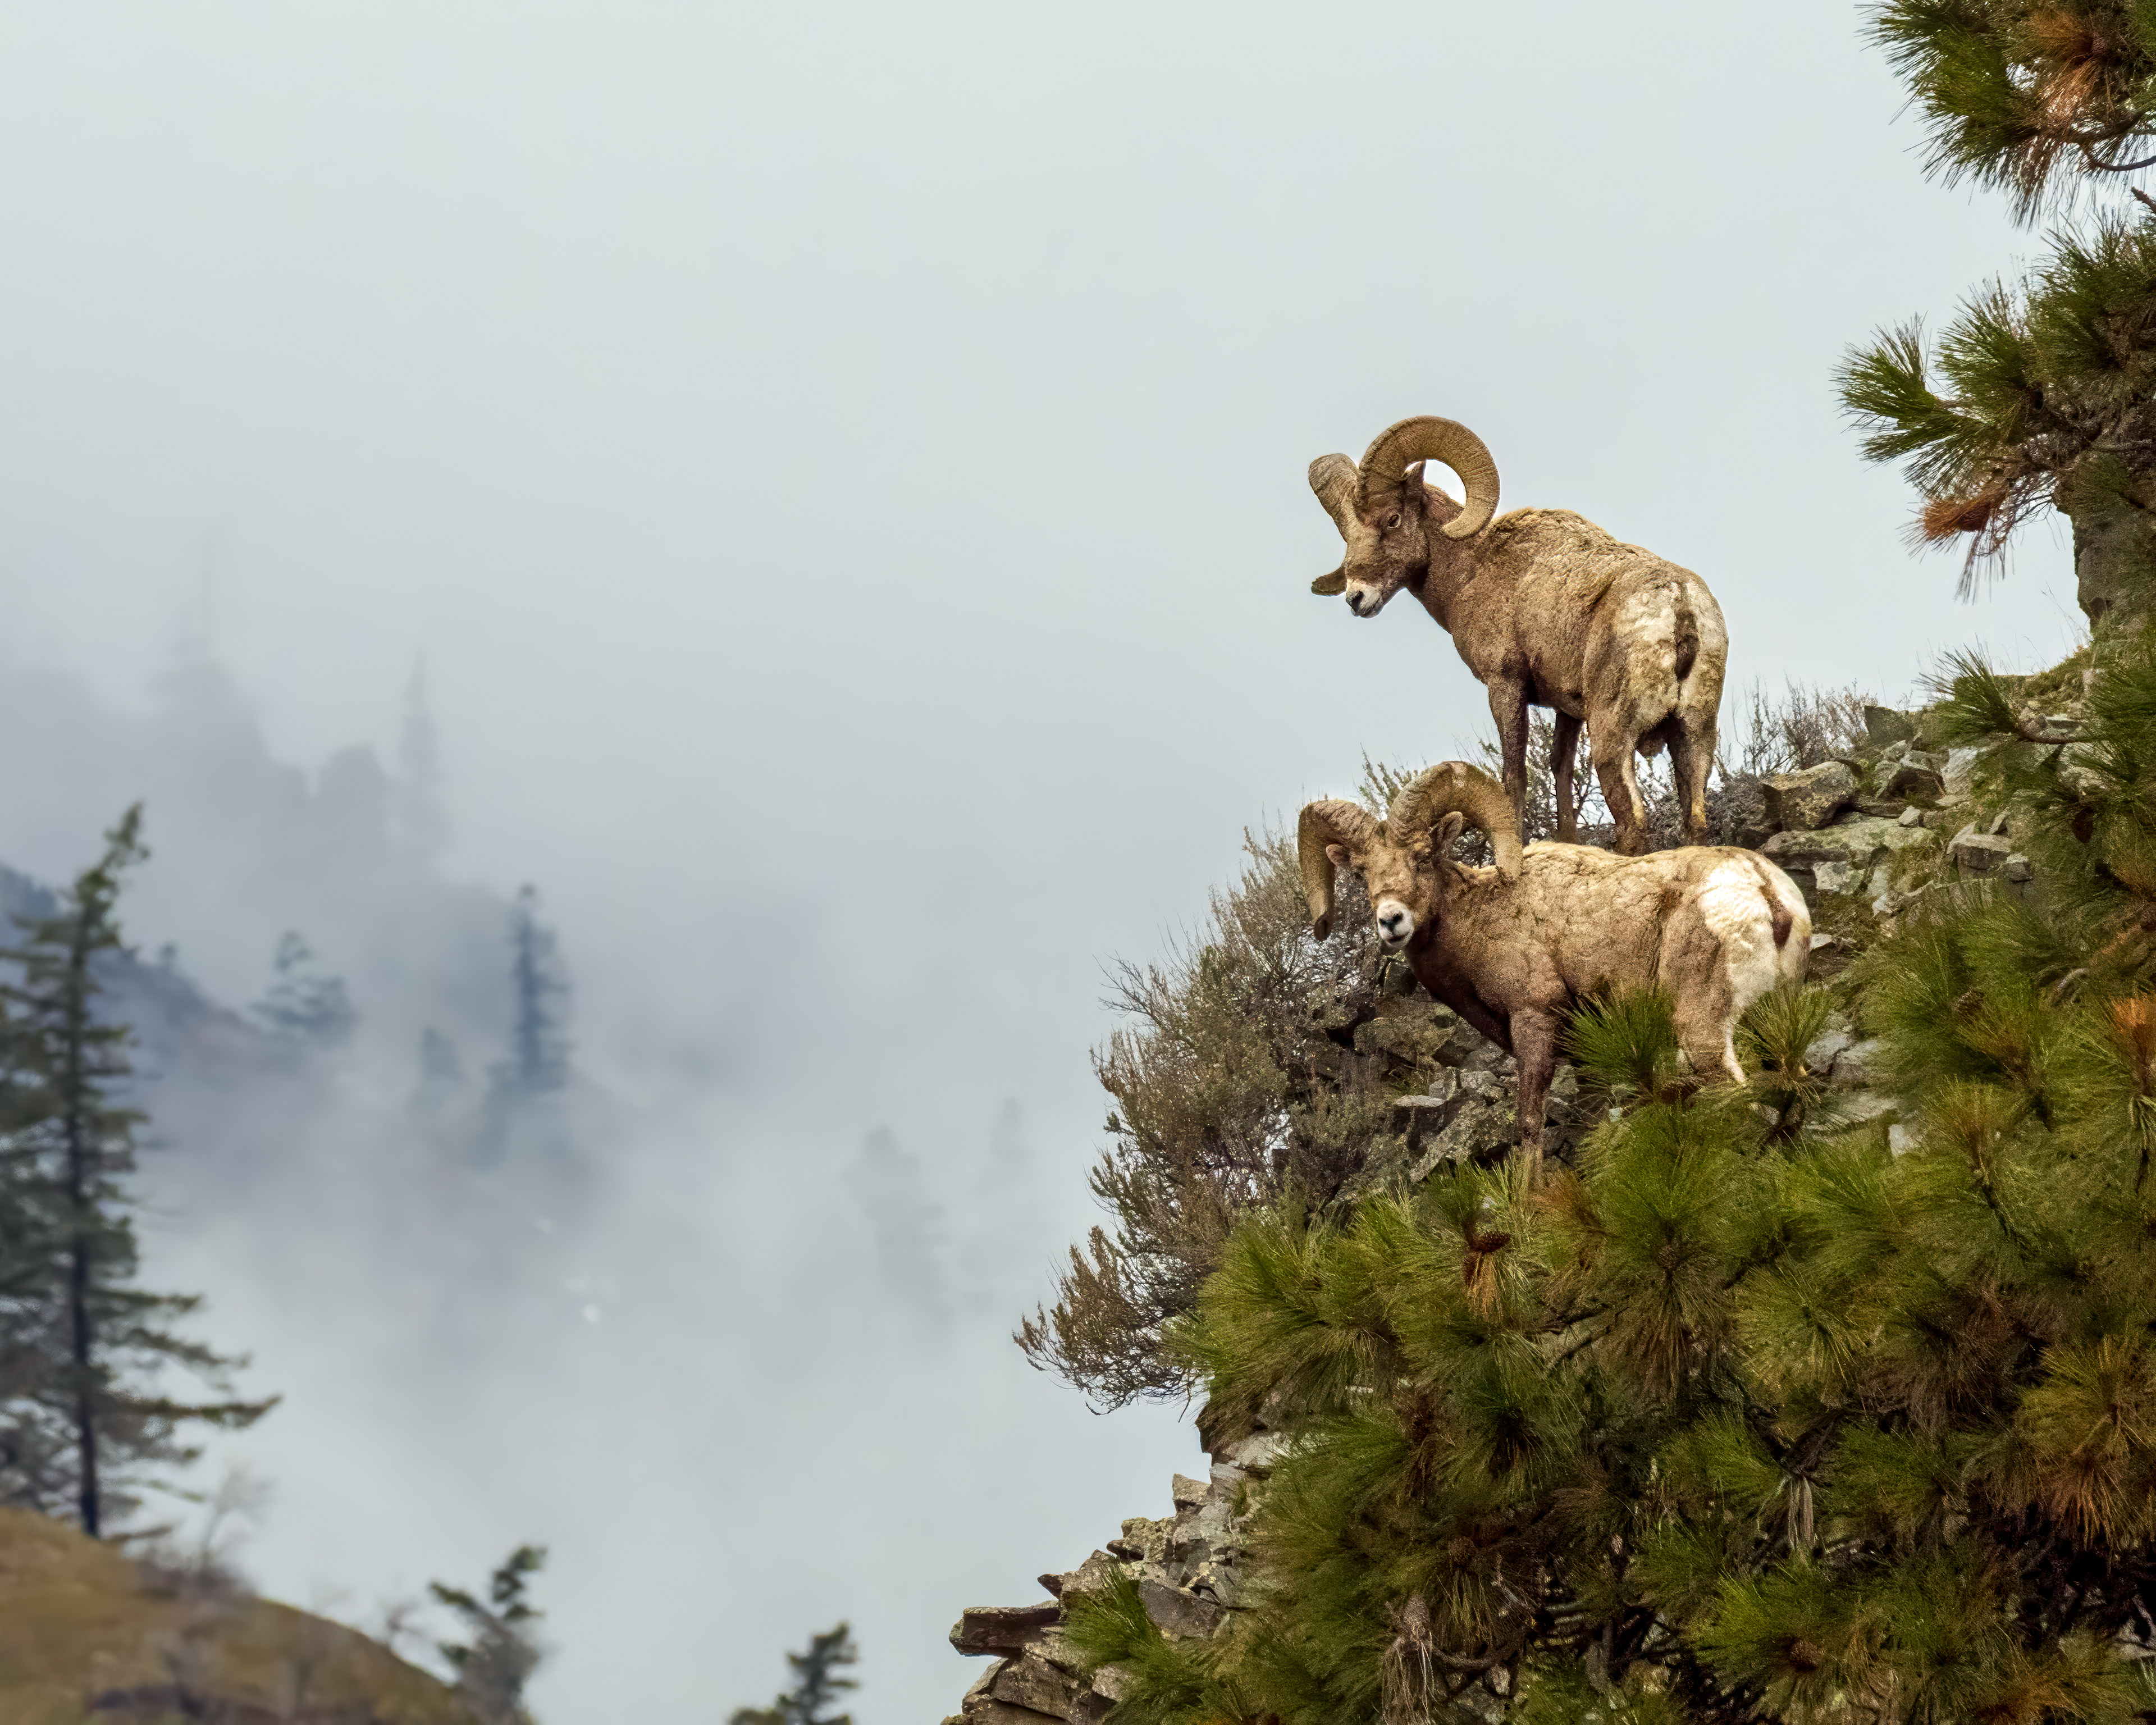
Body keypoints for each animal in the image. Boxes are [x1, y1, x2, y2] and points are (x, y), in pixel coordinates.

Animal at [1300, 761, 1808, 1167]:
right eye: (1362, 872)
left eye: (1423, 857)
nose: (1391, 921)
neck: (1482, 916)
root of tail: (1765, 892)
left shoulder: (1534, 1023)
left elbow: (1528, 1126)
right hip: (1775, 1019)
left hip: (1702, 1030)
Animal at [1308, 416, 1728, 857]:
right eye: (1349, 534)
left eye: (1392, 519)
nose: (1357, 598)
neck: (1472, 570)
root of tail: (1678, 603)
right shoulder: (1567, 710)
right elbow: (1560, 769)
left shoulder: (1505, 686)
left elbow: (1514, 775)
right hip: (1695, 736)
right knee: (1695, 823)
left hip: (1614, 738)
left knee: (1634, 824)